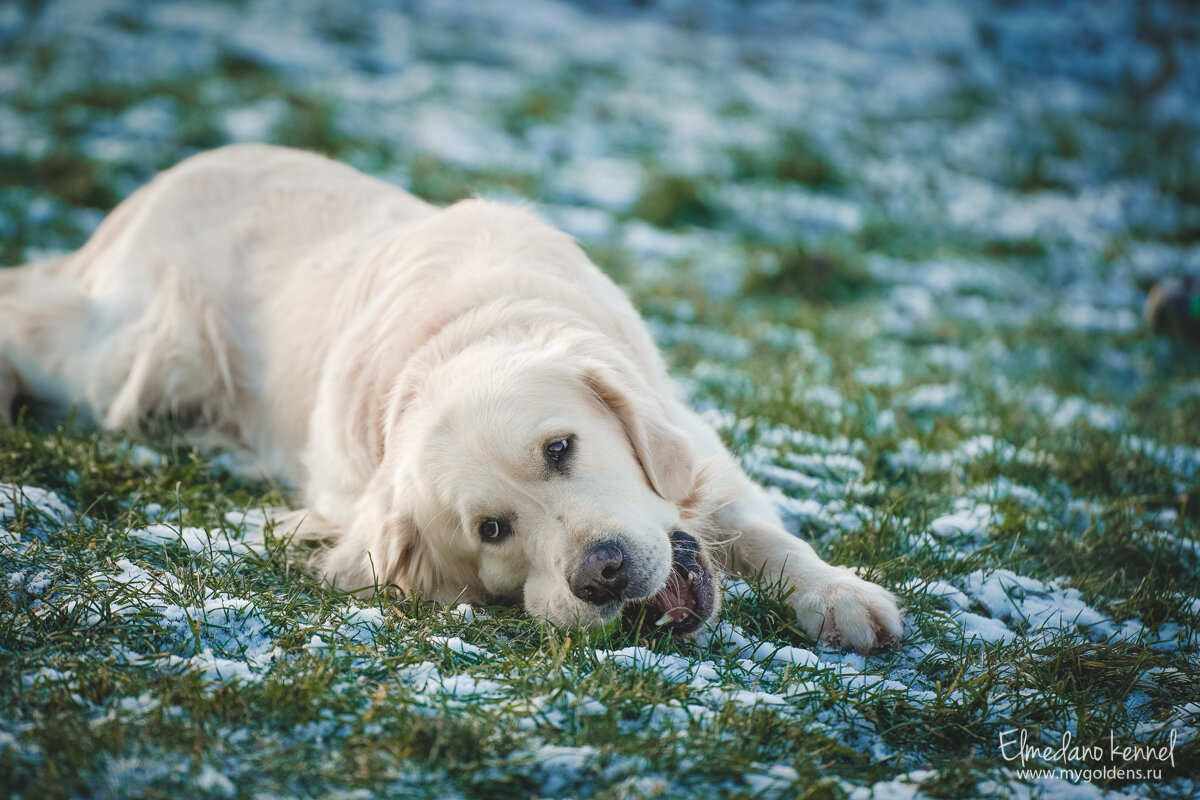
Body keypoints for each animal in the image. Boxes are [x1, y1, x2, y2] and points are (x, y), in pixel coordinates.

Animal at [0, 145, 902, 652]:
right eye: (491, 531)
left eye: (561, 448)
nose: (602, 572)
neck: (458, 333)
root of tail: (155, 185)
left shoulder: (705, 459)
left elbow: (774, 541)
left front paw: (843, 598)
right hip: (118, 363)